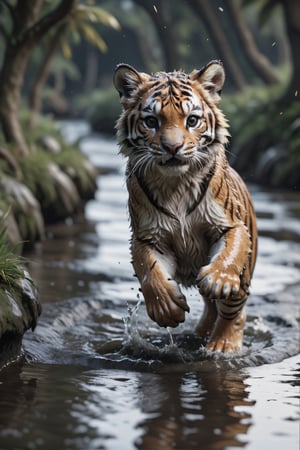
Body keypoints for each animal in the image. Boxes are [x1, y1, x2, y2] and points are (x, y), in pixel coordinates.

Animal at [113, 61, 258, 354]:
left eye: (192, 120)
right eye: (151, 121)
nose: (173, 147)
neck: (176, 184)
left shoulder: (230, 223)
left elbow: (231, 250)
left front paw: (219, 279)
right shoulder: (148, 236)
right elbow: (149, 269)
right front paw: (166, 308)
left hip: (244, 277)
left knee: (233, 311)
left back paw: (222, 345)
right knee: (212, 308)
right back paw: (201, 332)